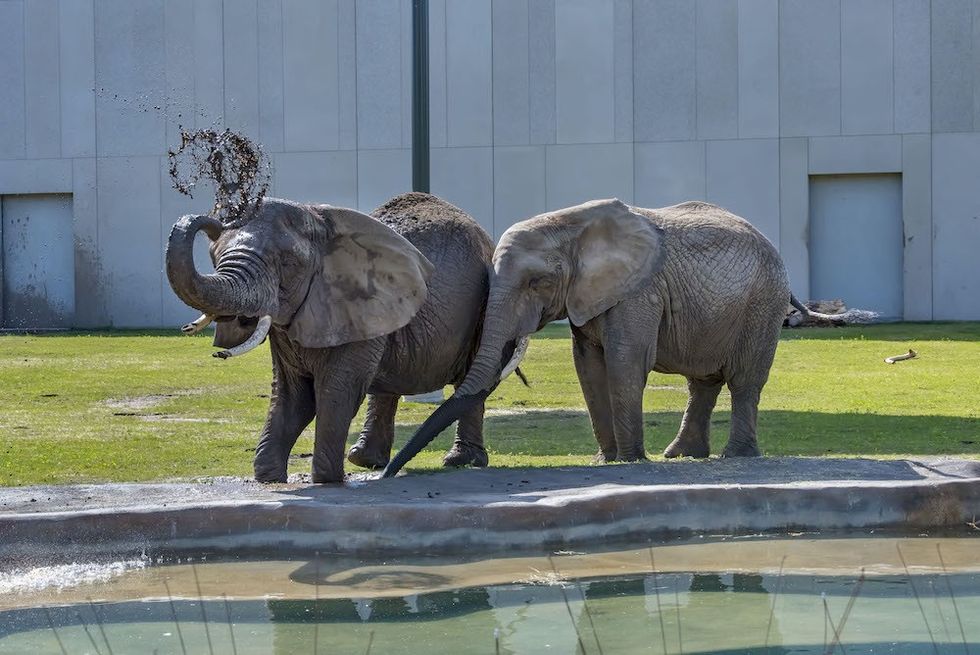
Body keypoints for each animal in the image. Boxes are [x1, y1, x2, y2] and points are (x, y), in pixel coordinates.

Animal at [166, 192, 524, 483]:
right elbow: (293, 395)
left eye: (287, 263)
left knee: (470, 377)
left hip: (485, 306)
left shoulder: (358, 304)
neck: (317, 220)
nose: (216, 217)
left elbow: (336, 391)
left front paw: (326, 480)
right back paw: (366, 461)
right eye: (214, 256)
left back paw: (460, 462)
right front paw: (268, 478)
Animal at [383, 198, 799, 477]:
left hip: (762, 302)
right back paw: (680, 455)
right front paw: (606, 460)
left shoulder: (638, 292)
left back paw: (736, 455)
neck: (571, 226)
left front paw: (629, 460)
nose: (386, 472)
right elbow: (588, 366)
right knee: (703, 382)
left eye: (537, 282)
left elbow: (625, 361)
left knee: (744, 380)